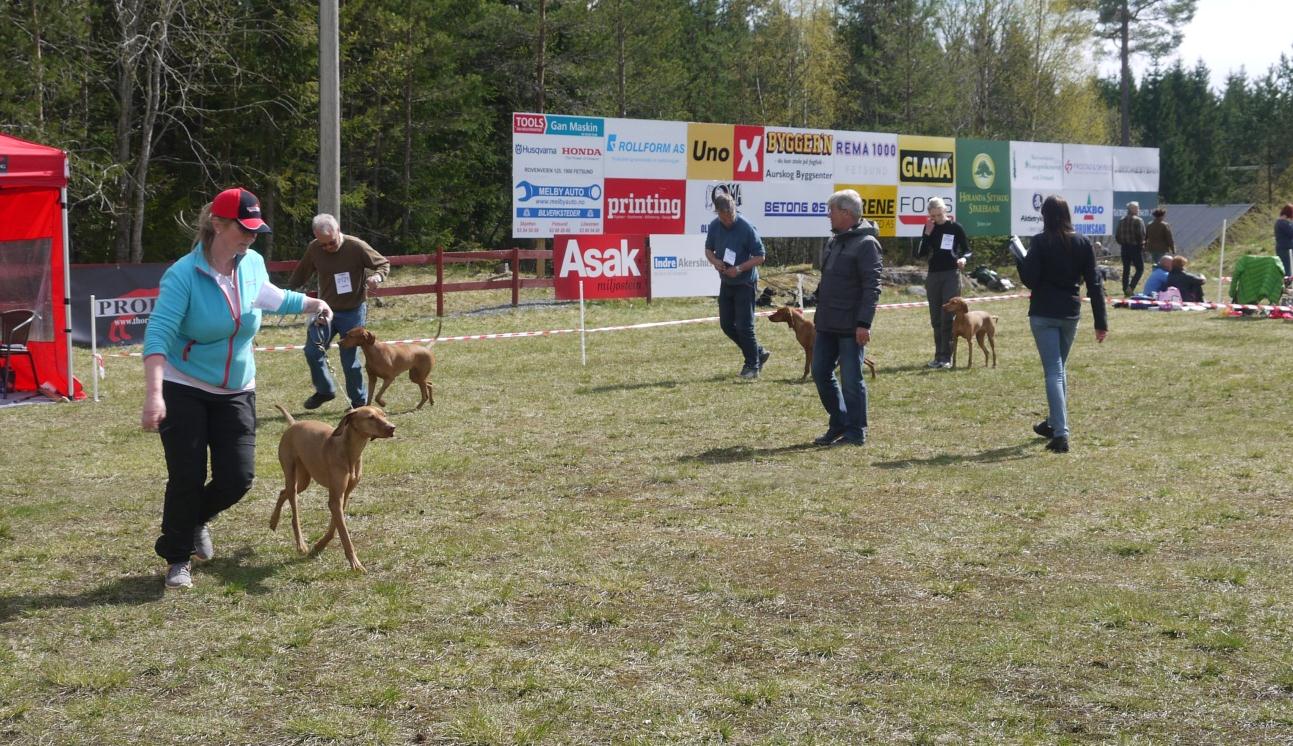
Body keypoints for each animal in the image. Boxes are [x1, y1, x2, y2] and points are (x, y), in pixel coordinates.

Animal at [267, 400, 393, 568]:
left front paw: (320, 545)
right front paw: (355, 563)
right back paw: (300, 544)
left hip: (304, 480)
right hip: (291, 475)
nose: (392, 427)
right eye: (371, 417)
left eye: (384, 415)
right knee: (294, 513)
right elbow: (344, 534)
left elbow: (335, 527)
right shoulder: (335, 499)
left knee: (283, 492)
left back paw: (273, 522)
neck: (349, 452)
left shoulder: (343, 495)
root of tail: (294, 424)